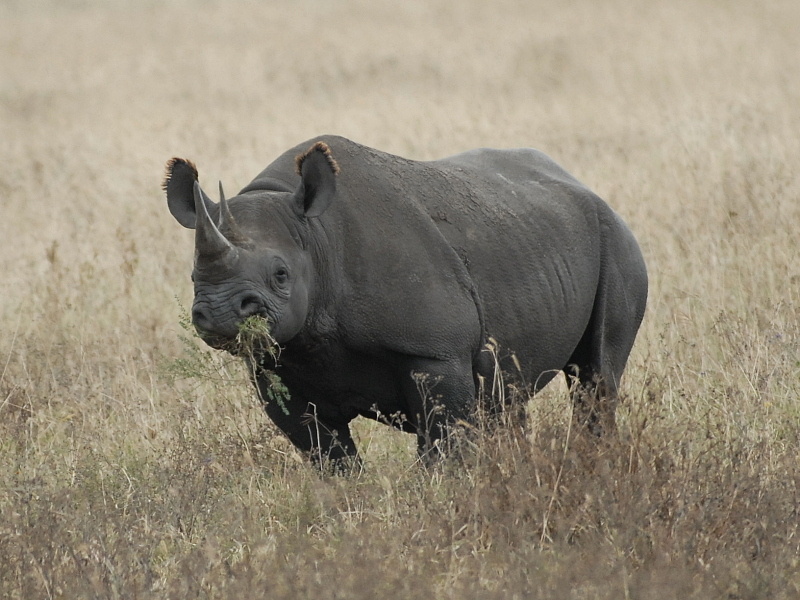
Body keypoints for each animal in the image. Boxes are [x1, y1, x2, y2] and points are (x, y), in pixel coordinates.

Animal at [164, 135, 647, 469]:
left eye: (281, 275)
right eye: (192, 277)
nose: (219, 313)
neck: (316, 240)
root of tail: (586, 186)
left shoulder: (435, 353)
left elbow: (441, 448)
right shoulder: (277, 365)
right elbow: (329, 458)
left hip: (617, 240)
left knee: (596, 377)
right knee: (507, 394)